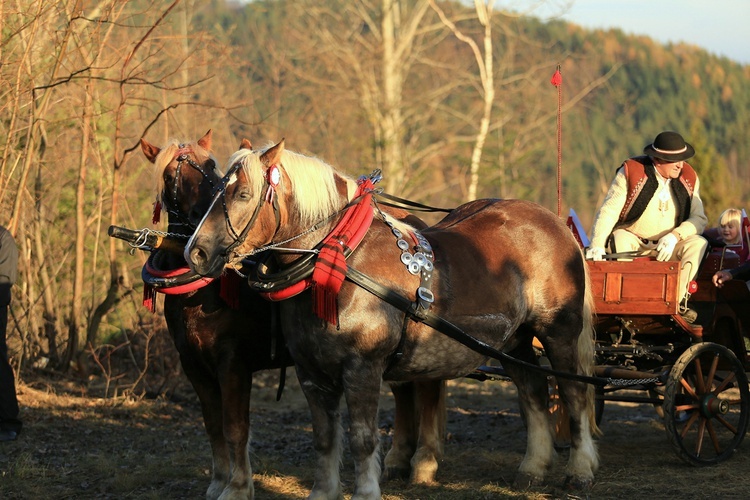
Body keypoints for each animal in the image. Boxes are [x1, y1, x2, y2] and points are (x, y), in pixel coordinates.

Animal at [138, 133, 290, 500]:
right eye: (169, 176)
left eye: (210, 166)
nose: (202, 213)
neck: (202, 292)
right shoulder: (193, 365)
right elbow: (212, 425)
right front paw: (219, 480)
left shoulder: (232, 363)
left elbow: (234, 427)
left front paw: (238, 487)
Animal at [184, 140, 600, 496]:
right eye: (216, 190)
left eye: (242, 194)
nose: (196, 252)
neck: (342, 260)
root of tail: (555, 223)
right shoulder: (311, 371)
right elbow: (324, 438)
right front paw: (324, 491)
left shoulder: (362, 367)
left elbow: (362, 438)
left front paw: (367, 491)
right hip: (512, 341)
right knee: (532, 390)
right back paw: (533, 468)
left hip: (558, 332)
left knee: (574, 393)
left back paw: (579, 469)